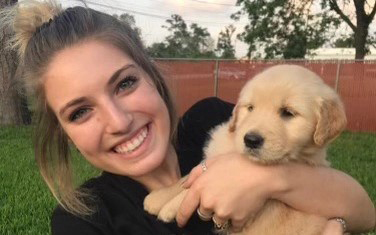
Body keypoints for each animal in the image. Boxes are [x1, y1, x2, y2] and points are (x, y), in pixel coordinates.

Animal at [143, 64, 346, 235]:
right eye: (250, 108)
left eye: (288, 113)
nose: (251, 140)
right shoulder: (213, 159)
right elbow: (188, 178)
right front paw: (158, 198)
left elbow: (194, 187)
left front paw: (168, 208)